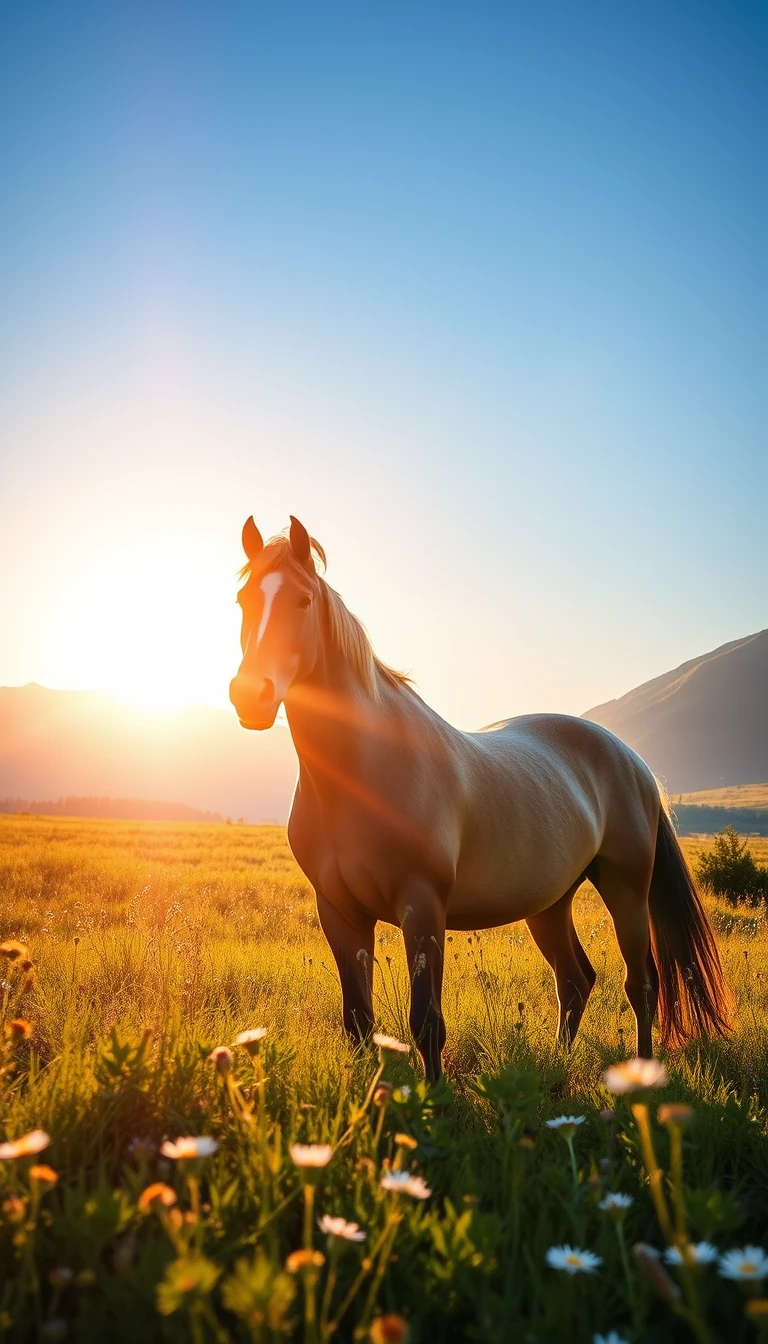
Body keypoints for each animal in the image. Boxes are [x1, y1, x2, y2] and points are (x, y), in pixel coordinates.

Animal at [229, 516, 731, 1081]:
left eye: (302, 600)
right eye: (244, 600)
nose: (250, 695)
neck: (362, 774)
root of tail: (632, 760)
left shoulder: (422, 908)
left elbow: (427, 1021)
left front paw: (434, 1097)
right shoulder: (338, 911)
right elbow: (358, 1020)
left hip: (626, 887)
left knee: (640, 984)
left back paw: (640, 1075)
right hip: (551, 903)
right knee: (575, 980)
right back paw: (558, 1066)